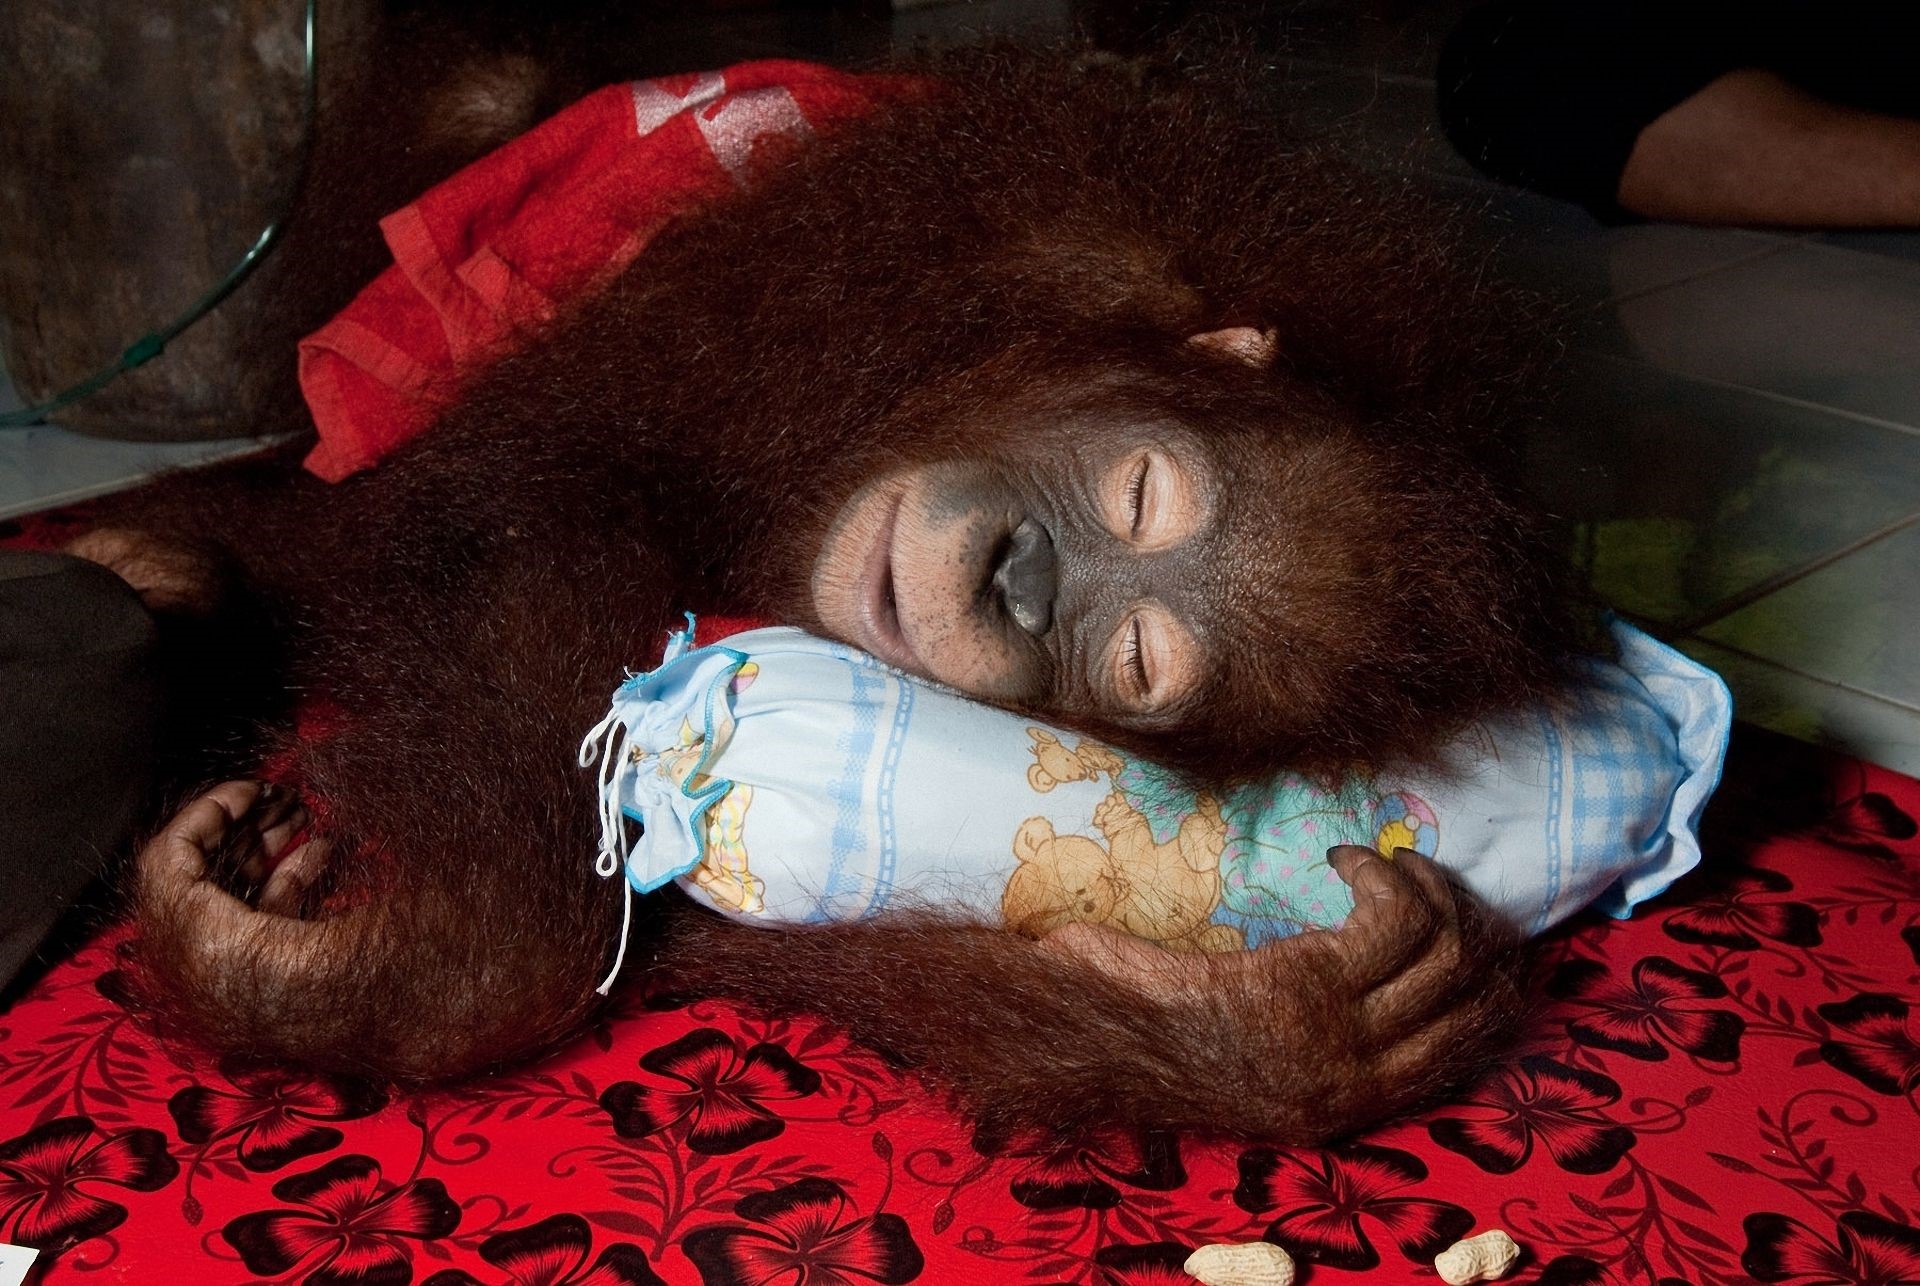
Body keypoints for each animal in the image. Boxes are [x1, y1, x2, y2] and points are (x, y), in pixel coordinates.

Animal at [71, 48, 1580, 1144]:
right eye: (1143, 494)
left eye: (1137, 662)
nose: (1019, 577)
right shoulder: (936, 245)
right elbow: (553, 482)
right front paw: (395, 972)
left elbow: (691, 934)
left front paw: (1267, 1037)